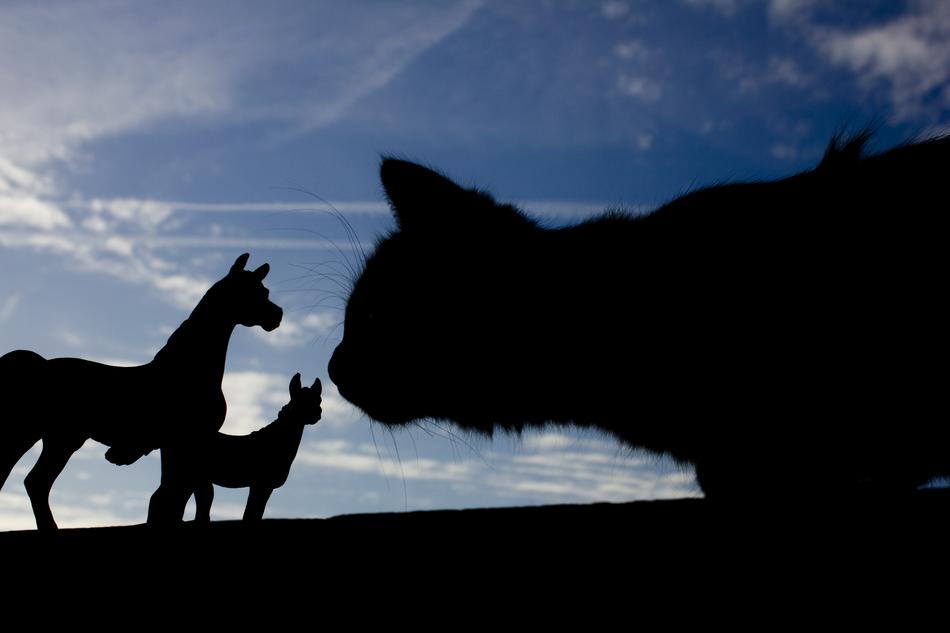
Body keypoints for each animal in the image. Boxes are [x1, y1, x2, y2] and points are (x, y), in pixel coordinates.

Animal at [0, 253, 283, 529]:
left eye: (265, 290)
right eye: (254, 292)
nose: (277, 316)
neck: (189, 369)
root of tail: (36, 365)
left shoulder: (181, 445)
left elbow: (182, 494)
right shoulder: (186, 442)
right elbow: (180, 494)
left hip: (51, 438)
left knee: (32, 481)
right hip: (39, 436)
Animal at [193, 373, 322, 522]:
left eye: (319, 399)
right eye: (299, 399)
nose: (318, 413)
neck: (277, 440)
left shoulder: (264, 487)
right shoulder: (260, 484)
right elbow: (250, 514)